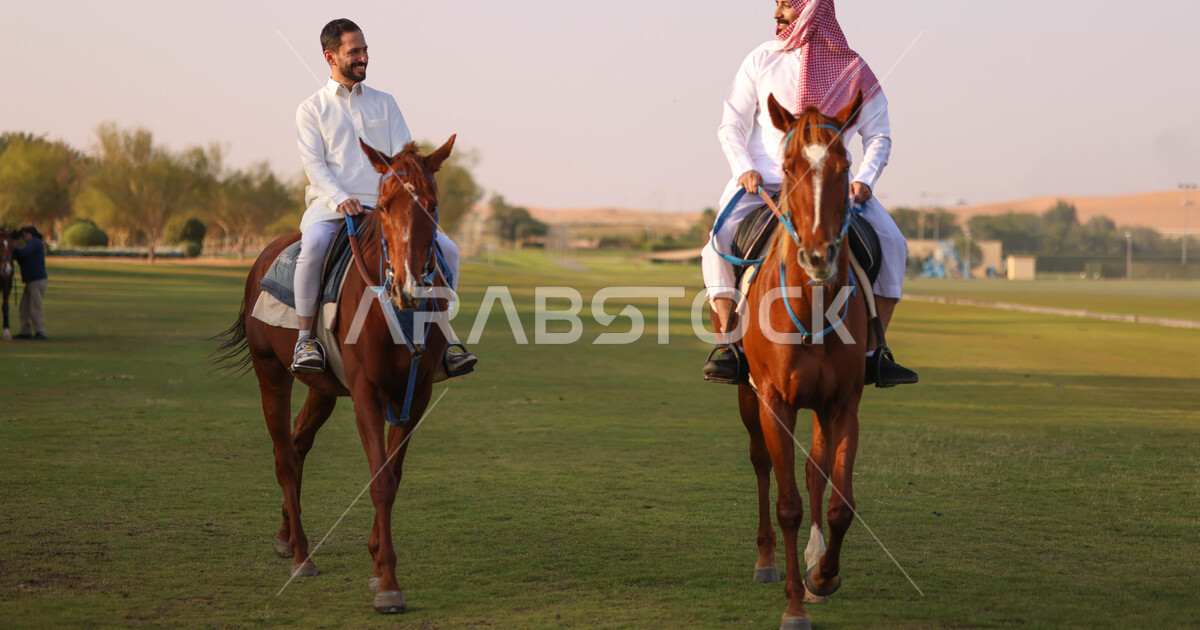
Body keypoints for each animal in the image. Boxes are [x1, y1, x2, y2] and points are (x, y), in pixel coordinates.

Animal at [213, 137, 457, 614]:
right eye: (385, 204)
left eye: (432, 205)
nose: (407, 286)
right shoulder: (367, 393)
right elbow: (380, 480)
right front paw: (389, 584)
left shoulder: (415, 394)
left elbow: (394, 475)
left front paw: (377, 559)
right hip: (271, 373)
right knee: (284, 455)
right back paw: (302, 555)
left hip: (323, 388)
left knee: (298, 443)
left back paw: (286, 537)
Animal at [732, 91, 872, 630]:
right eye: (789, 166)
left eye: (844, 164)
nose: (818, 257)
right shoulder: (774, 400)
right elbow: (787, 502)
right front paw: (793, 605)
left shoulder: (843, 404)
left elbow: (840, 503)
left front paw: (823, 577)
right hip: (748, 395)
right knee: (761, 463)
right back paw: (766, 560)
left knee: (815, 470)